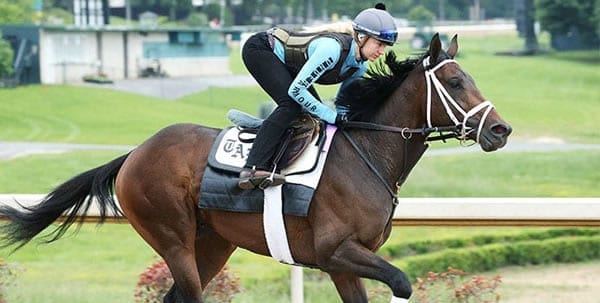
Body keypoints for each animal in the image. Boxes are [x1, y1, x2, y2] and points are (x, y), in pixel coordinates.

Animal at [0, 34, 510, 302]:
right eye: (454, 81)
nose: (500, 129)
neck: (366, 152)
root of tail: (134, 154)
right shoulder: (334, 251)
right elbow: (402, 281)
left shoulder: (346, 262)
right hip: (172, 237)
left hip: (212, 245)